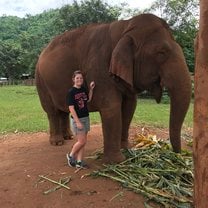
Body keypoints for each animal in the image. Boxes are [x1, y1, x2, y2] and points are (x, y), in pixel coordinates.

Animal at [35, 13, 192, 163]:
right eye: (161, 53)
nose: (177, 153)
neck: (125, 27)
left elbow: (129, 107)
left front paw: (126, 148)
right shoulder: (99, 68)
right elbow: (111, 107)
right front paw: (116, 162)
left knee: (63, 110)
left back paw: (69, 137)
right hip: (40, 81)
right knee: (52, 112)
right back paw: (57, 142)